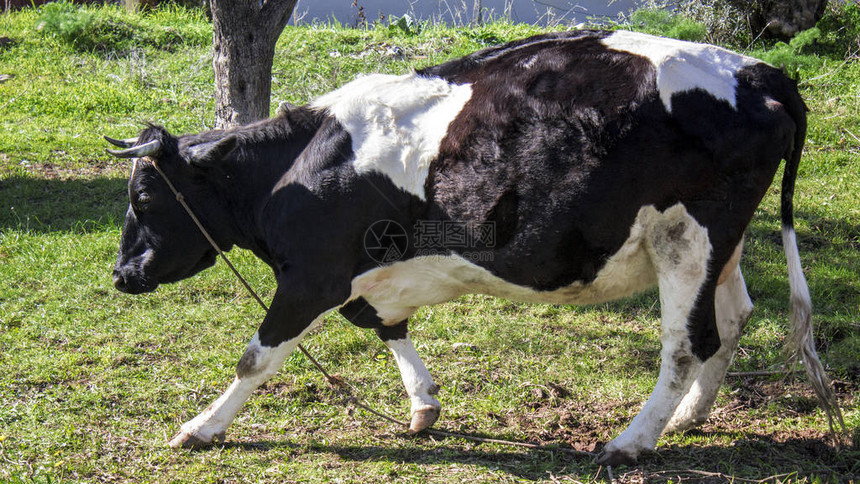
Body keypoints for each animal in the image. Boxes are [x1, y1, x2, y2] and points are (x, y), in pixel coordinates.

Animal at [107, 30, 840, 466]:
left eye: (143, 197)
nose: (121, 274)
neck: (301, 166)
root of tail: (761, 71)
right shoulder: (360, 273)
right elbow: (383, 324)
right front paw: (423, 404)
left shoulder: (312, 275)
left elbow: (256, 357)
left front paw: (202, 428)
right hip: (719, 245)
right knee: (733, 319)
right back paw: (687, 419)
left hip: (686, 236)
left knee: (689, 341)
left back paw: (630, 442)